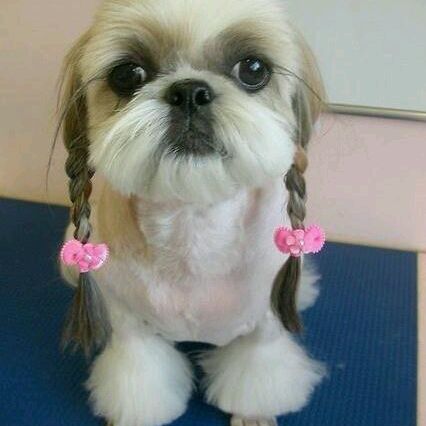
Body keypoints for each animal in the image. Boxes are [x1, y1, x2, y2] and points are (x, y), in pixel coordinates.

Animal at [58, 1, 325, 425]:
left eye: (253, 69)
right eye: (127, 73)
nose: (189, 91)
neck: (193, 226)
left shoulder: (265, 326)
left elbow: (258, 371)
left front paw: (253, 412)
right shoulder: (130, 326)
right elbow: (140, 376)